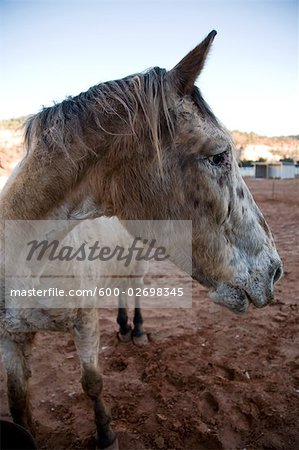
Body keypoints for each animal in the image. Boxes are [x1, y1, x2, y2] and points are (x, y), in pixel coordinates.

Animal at [0, 31, 284, 450]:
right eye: (219, 155)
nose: (275, 271)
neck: (26, 264)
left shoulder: (84, 322)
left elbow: (92, 383)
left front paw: (106, 434)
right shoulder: (13, 337)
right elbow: (19, 403)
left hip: (139, 262)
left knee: (133, 290)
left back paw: (134, 330)